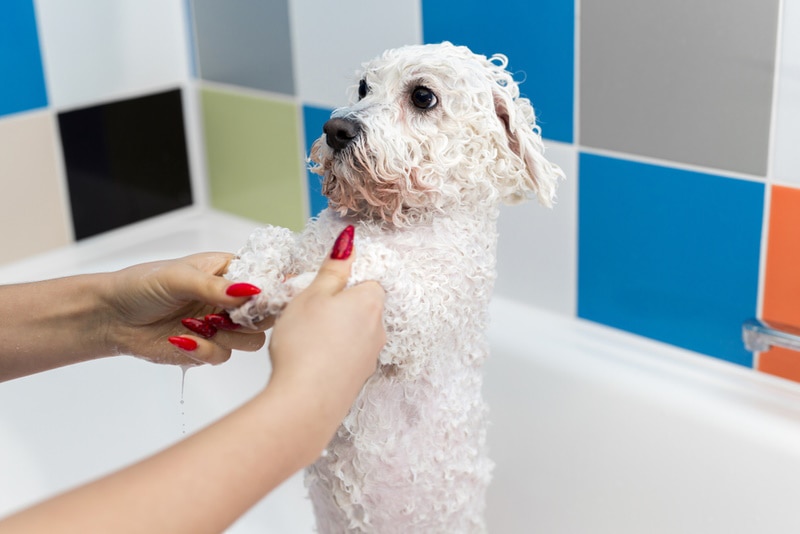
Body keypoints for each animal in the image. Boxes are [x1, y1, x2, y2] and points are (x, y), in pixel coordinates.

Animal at [223, 43, 564, 534]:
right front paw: (248, 278)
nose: (335, 129)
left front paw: (288, 292)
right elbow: (273, 240)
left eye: (423, 96)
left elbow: (372, 266)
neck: (393, 220)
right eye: (365, 87)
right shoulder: (307, 242)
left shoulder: (422, 313)